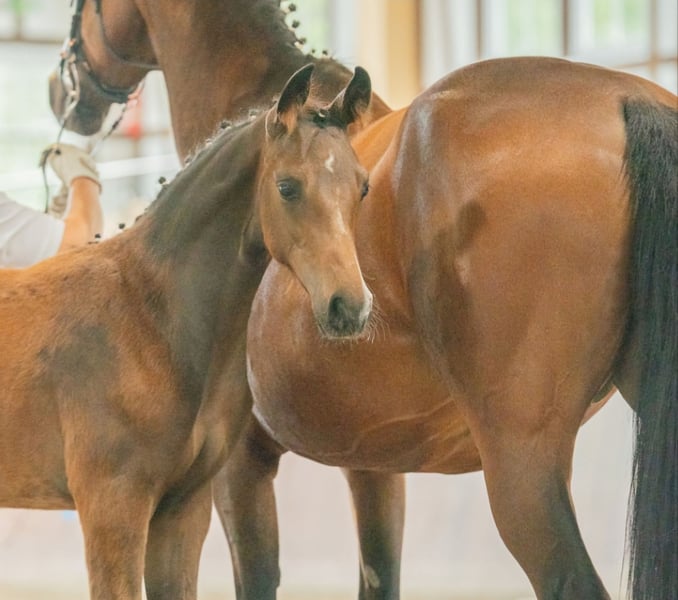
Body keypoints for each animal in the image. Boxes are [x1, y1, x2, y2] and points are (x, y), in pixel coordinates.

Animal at [2, 63, 373, 600]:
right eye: (287, 186)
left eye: (362, 187)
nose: (349, 307)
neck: (150, 320)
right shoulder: (112, 508)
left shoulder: (183, 510)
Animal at [49, 2, 678, 599]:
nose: (62, 89)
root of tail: (625, 98)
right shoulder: (372, 467)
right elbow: (379, 578)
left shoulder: (236, 468)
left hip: (521, 460)